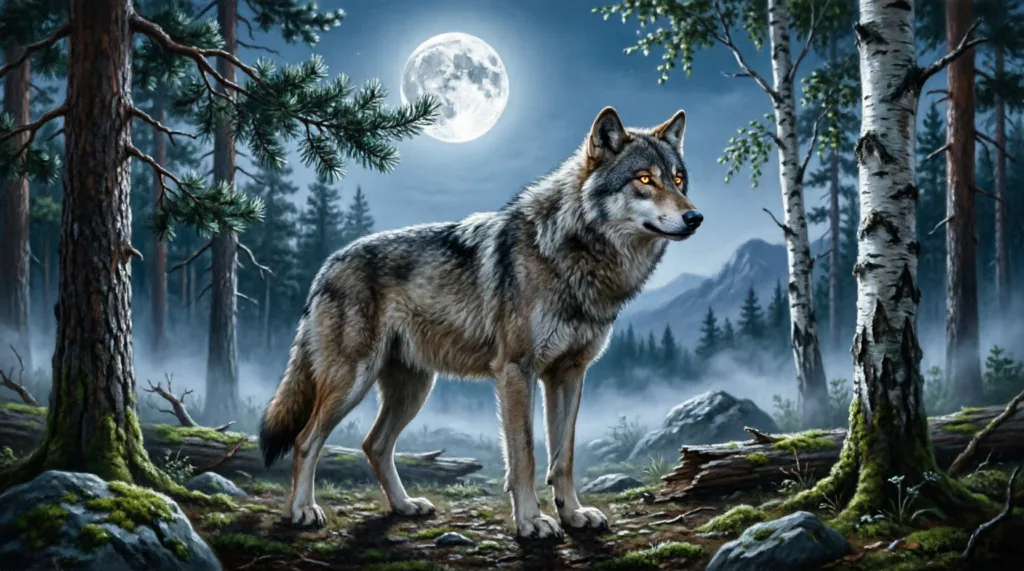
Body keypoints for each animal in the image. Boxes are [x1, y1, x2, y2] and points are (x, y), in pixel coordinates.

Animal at [259, 106, 703, 538]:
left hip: (414, 388)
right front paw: (531, 521)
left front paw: (573, 514)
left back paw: (404, 506)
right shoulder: (516, 372)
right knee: (305, 440)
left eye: (679, 179)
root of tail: (326, 266)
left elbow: (564, 457)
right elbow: (524, 455)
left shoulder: (569, 374)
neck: (572, 255)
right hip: (352, 381)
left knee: (375, 445)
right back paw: (303, 510)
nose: (695, 217)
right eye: (644, 179)